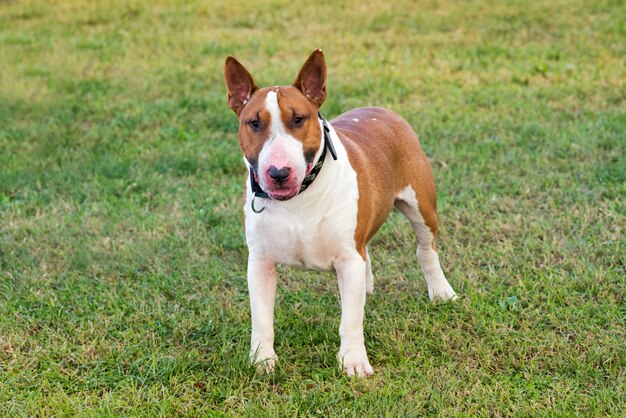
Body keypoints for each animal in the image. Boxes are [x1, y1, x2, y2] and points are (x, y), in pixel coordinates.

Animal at [222, 49, 456, 378]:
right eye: (253, 123)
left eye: (298, 119)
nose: (278, 173)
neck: (299, 197)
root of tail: (382, 109)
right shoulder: (260, 262)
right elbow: (262, 318)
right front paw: (262, 360)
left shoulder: (347, 258)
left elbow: (351, 320)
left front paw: (354, 362)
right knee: (367, 250)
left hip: (421, 205)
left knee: (425, 248)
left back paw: (441, 291)